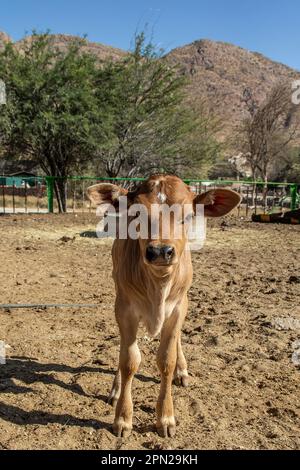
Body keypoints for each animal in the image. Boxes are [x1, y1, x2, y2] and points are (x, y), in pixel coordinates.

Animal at [87, 175, 241, 436]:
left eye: (188, 215)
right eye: (136, 214)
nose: (160, 251)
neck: (158, 286)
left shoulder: (178, 307)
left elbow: (167, 360)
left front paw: (166, 417)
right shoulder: (125, 309)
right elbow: (129, 360)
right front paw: (123, 417)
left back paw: (182, 370)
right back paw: (116, 389)